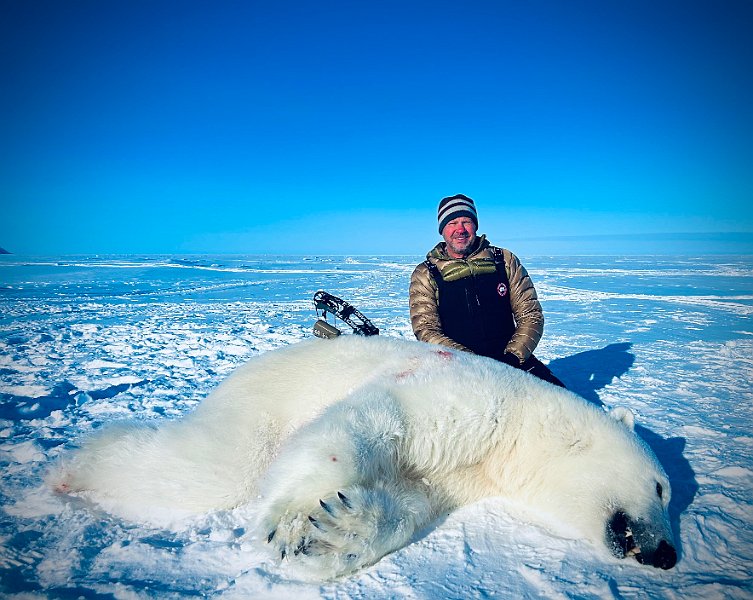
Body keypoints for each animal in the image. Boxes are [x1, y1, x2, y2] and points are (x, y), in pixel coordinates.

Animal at [52, 335, 677, 579]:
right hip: (257, 406)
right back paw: (68, 470)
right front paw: (293, 522)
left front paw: (337, 532)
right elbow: (371, 421)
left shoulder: (461, 478)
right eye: (664, 488)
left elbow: (411, 500)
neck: (522, 428)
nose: (669, 554)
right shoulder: (463, 396)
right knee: (206, 466)